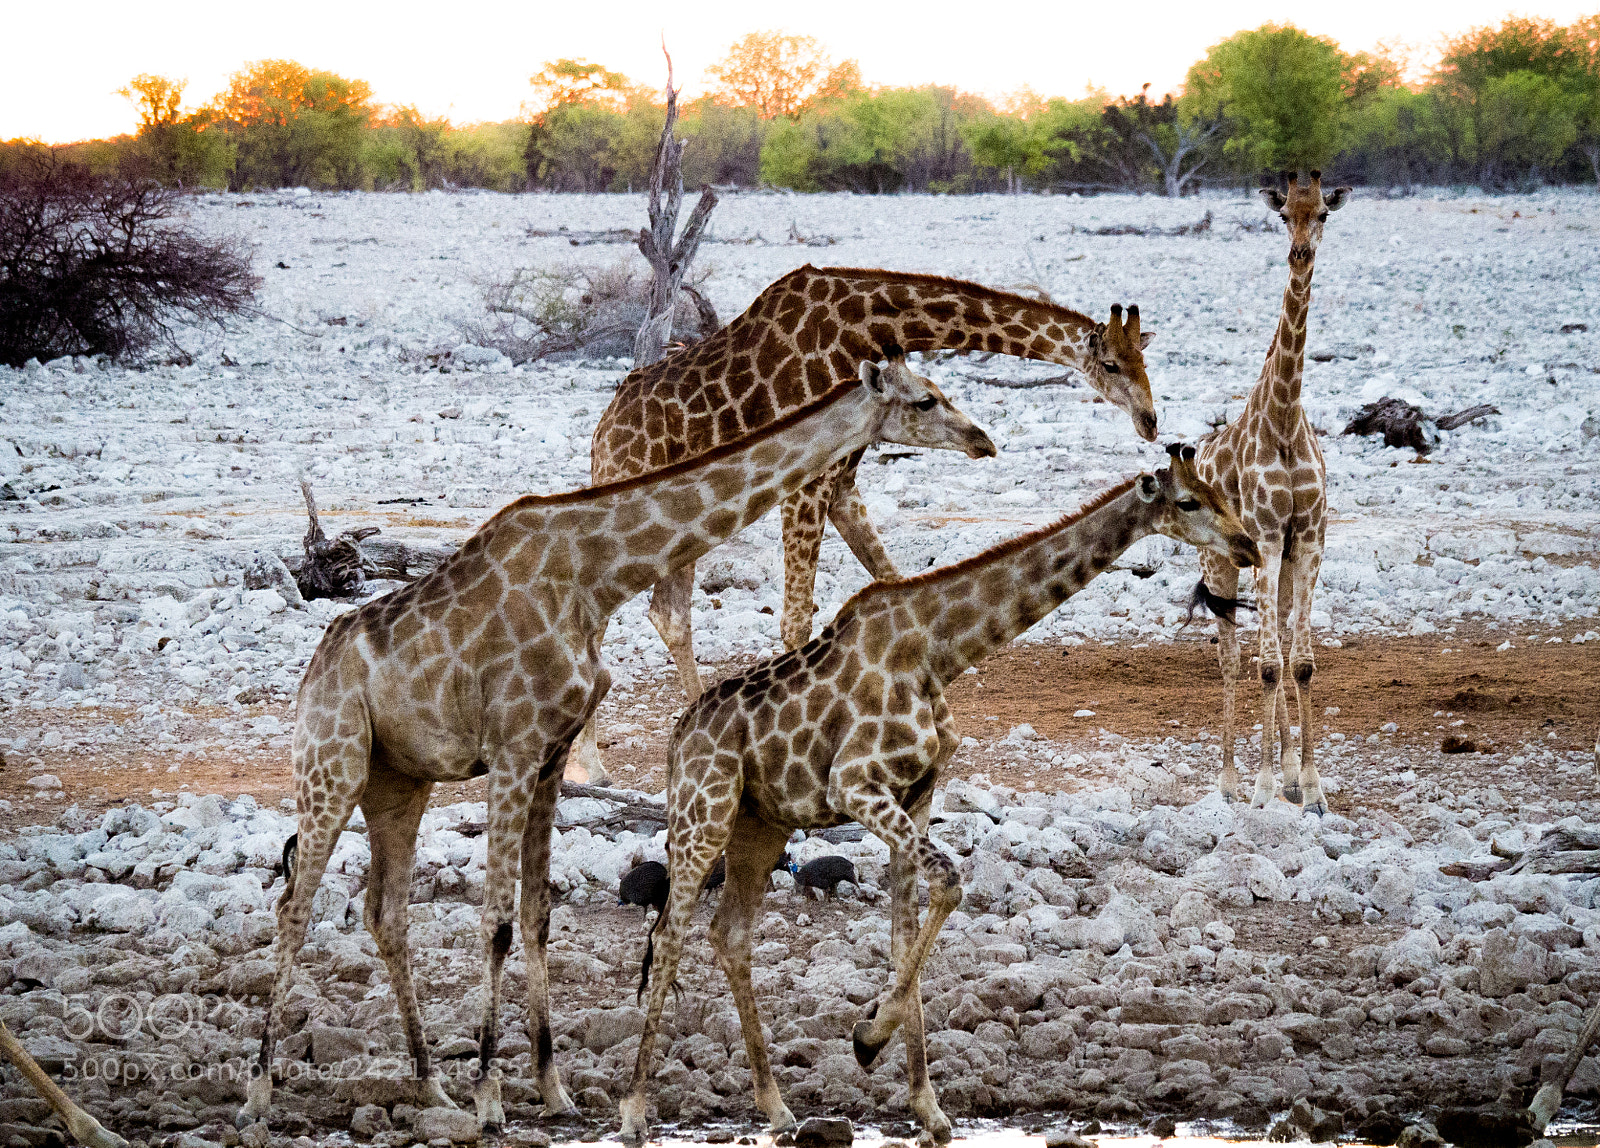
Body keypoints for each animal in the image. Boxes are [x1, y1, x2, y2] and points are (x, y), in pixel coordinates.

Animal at [235, 357, 994, 1131]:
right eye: (925, 399)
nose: (982, 439)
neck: (595, 575)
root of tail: (313, 670)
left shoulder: (548, 755)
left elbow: (537, 915)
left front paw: (552, 1089)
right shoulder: (512, 750)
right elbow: (496, 920)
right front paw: (490, 1101)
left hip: (399, 782)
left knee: (385, 913)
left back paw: (429, 1086)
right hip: (331, 763)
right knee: (294, 904)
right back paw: (262, 1092)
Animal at [571, 265, 1159, 783]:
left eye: (1144, 359)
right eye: (1111, 364)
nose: (1151, 422)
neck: (866, 321)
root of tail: (603, 430)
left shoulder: (843, 485)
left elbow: (894, 579)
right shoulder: (808, 483)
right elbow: (796, 622)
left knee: (667, 614)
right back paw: (592, 765)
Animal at [618, 446, 1260, 1145]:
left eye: (1223, 494)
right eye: (1190, 502)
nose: (1249, 545)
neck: (938, 652)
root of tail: (678, 736)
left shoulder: (916, 792)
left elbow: (906, 932)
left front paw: (925, 1104)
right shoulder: (855, 783)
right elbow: (950, 883)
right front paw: (869, 1035)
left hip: (760, 827)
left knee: (729, 934)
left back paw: (776, 1106)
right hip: (702, 814)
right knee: (670, 936)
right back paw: (634, 1111)